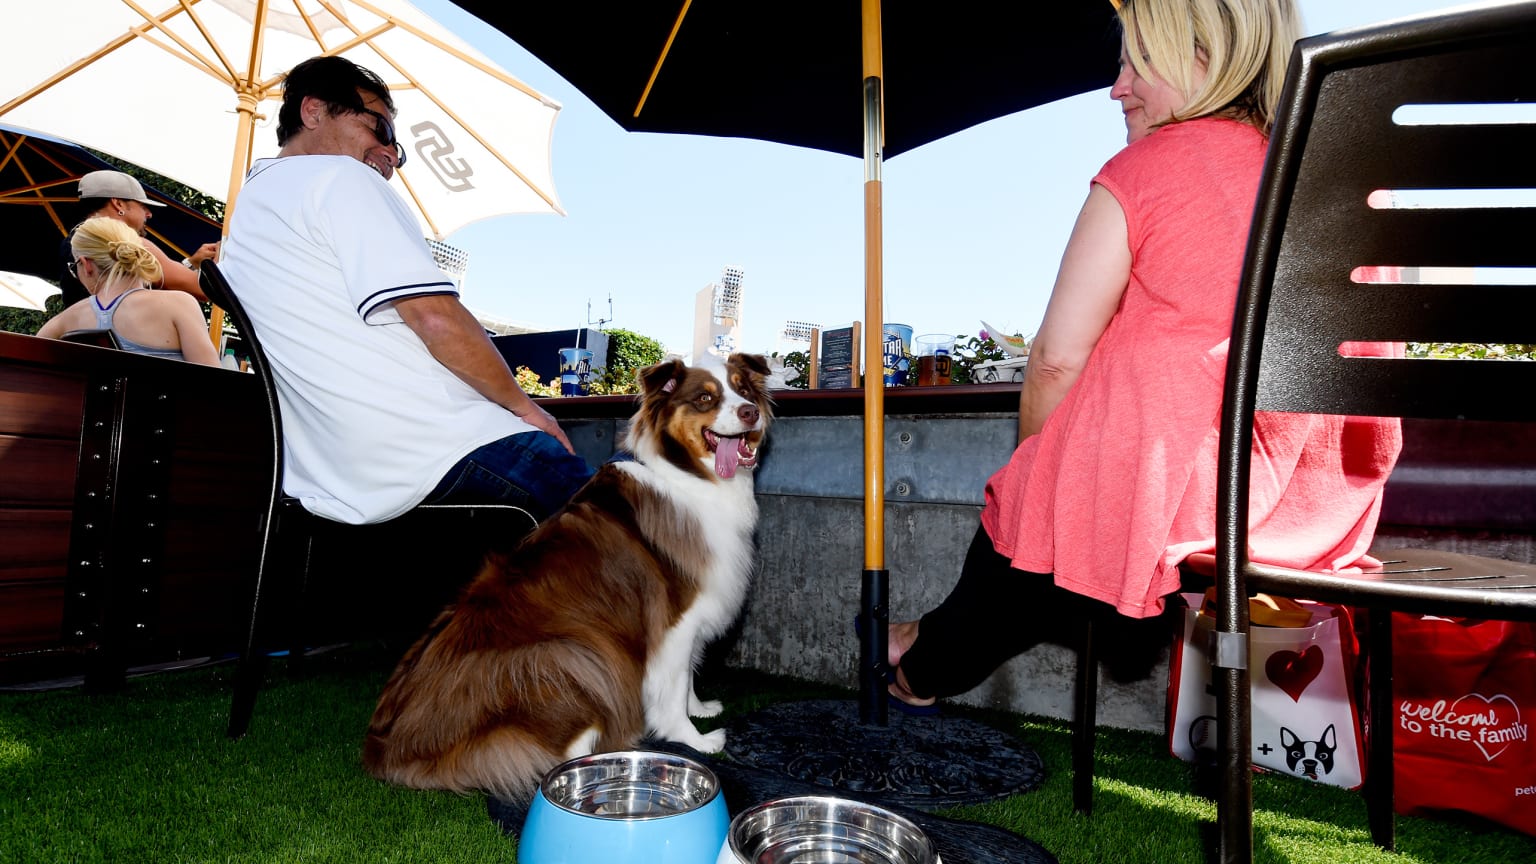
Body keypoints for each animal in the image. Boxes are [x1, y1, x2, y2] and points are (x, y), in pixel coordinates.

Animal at [356, 353, 768, 799]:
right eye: (705, 398)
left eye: (744, 389)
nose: (751, 412)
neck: (689, 474)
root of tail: (388, 752)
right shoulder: (674, 618)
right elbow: (672, 686)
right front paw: (694, 739)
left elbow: (688, 672)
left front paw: (701, 708)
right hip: (569, 653)